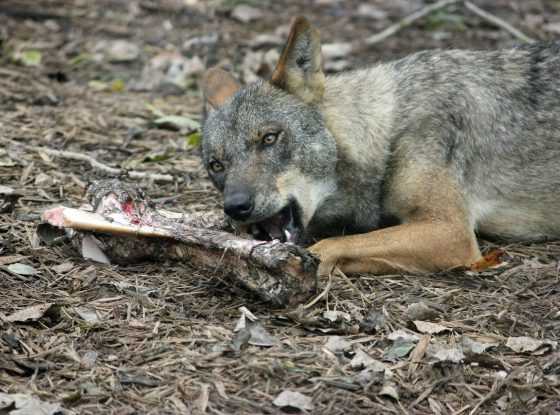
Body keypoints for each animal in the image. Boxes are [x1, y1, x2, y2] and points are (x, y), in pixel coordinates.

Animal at [199, 17, 560, 276]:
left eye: (269, 138)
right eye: (216, 165)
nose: (235, 206)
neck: (389, 130)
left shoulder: (451, 231)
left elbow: (330, 246)